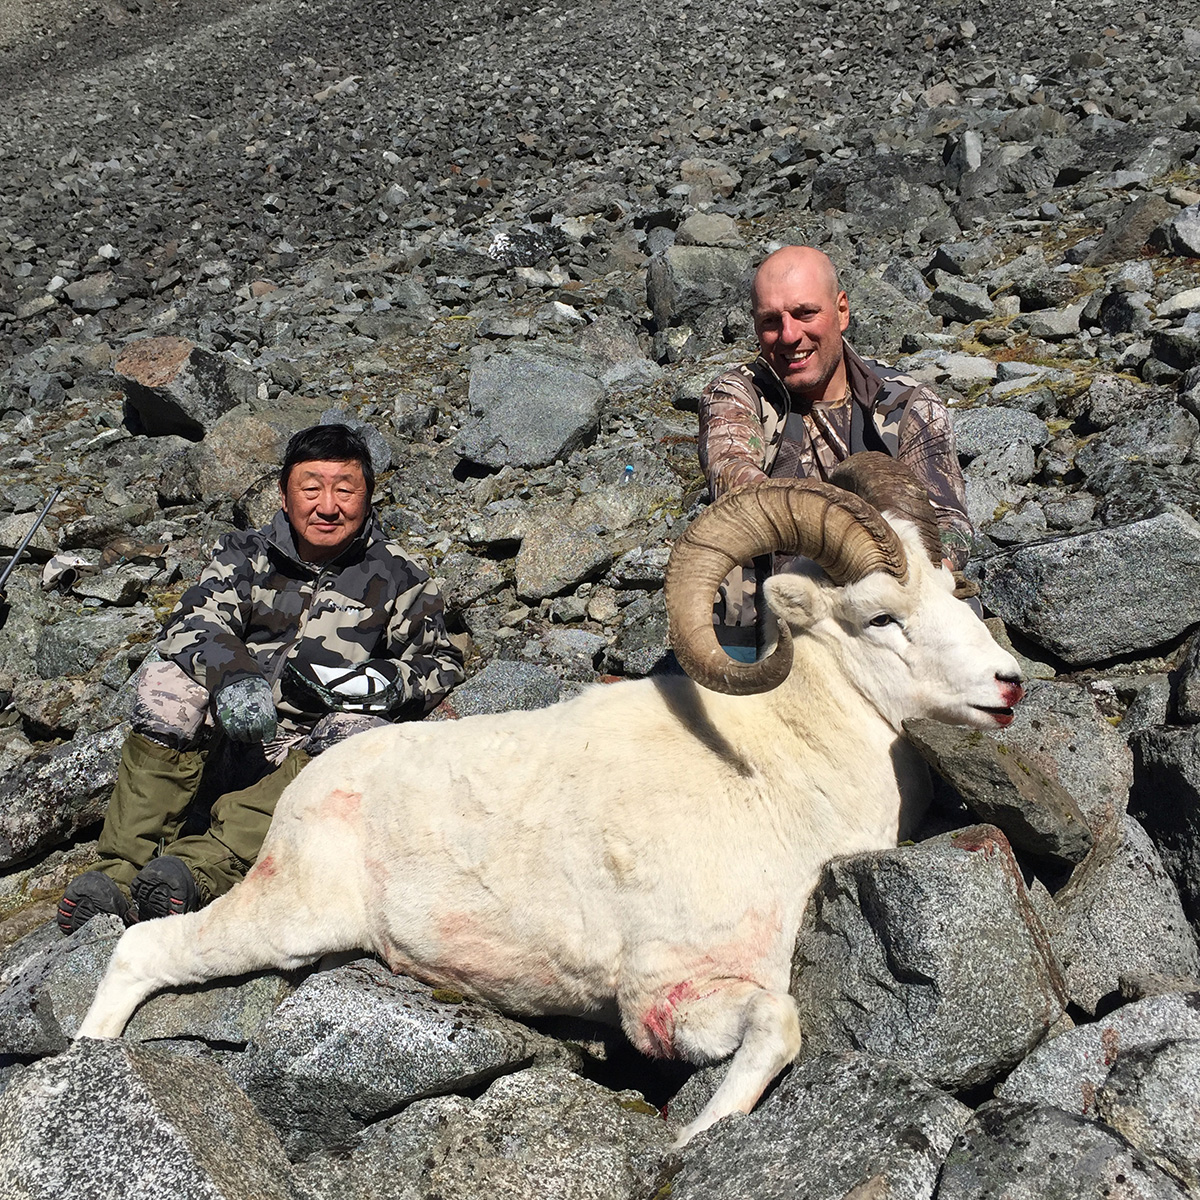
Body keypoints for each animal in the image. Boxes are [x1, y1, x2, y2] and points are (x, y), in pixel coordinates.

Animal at [82, 453, 1022, 1147]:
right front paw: (694, 1141)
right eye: (881, 618)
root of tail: (304, 790)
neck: (780, 777)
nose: (1007, 685)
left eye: (950, 591)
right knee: (145, 948)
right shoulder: (666, 995)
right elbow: (780, 1025)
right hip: (285, 921)